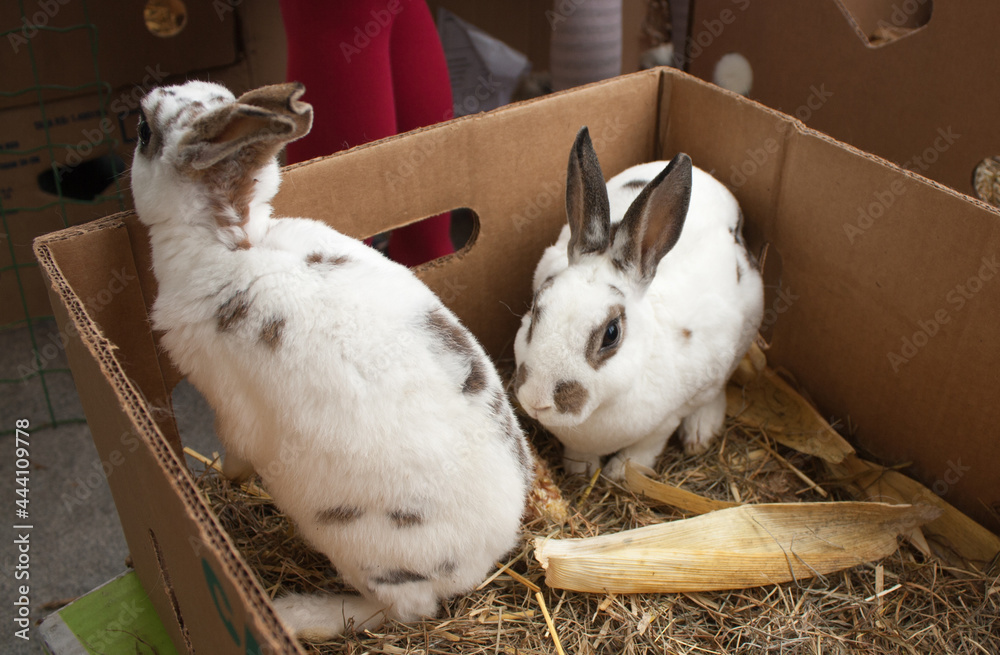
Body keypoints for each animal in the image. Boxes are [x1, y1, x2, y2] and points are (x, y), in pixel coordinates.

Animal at [129, 80, 533, 640]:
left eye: (143, 130)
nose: (135, 111)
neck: (232, 242)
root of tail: (488, 556)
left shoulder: (227, 407)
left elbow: (233, 451)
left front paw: (230, 480)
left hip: (365, 548)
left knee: (404, 609)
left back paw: (297, 613)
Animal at [513, 126, 764, 481]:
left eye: (611, 334)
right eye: (536, 310)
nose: (537, 400)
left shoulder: (666, 419)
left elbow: (646, 447)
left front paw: (620, 473)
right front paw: (581, 471)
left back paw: (700, 432)